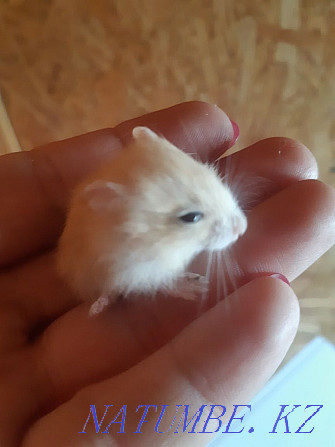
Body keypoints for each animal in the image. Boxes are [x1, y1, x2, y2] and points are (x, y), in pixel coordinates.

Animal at [57, 126, 247, 316]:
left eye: (211, 175)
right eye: (190, 217)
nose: (242, 228)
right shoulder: (139, 269)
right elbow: (163, 283)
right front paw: (200, 287)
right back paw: (97, 309)